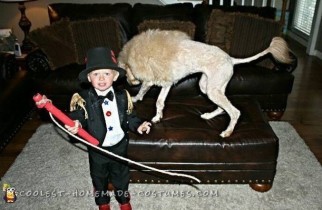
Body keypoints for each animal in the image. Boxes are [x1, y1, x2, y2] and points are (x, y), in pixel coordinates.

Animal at [117, 29, 292, 138]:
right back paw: (209, 116)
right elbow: (159, 102)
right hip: (207, 87)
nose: (129, 82)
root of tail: (231, 60)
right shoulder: (166, 84)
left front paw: (135, 99)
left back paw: (227, 132)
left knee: (234, 112)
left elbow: (144, 92)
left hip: (213, 90)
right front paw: (157, 116)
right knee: (222, 108)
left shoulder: (153, 81)